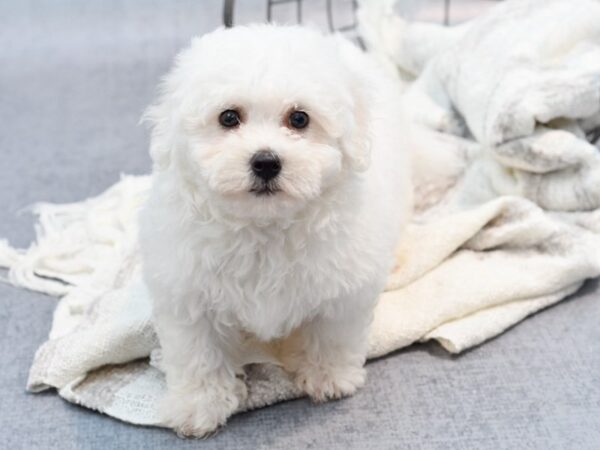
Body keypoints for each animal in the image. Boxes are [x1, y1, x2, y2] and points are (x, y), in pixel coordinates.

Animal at [139, 23, 412, 436]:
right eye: (228, 117)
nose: (266, 162)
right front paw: (199, 405)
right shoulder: (188, 291)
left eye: (299, 119)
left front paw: (328, 375)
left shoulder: (343, 286)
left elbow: (332, 332)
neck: (264, 226)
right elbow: (198, 351)